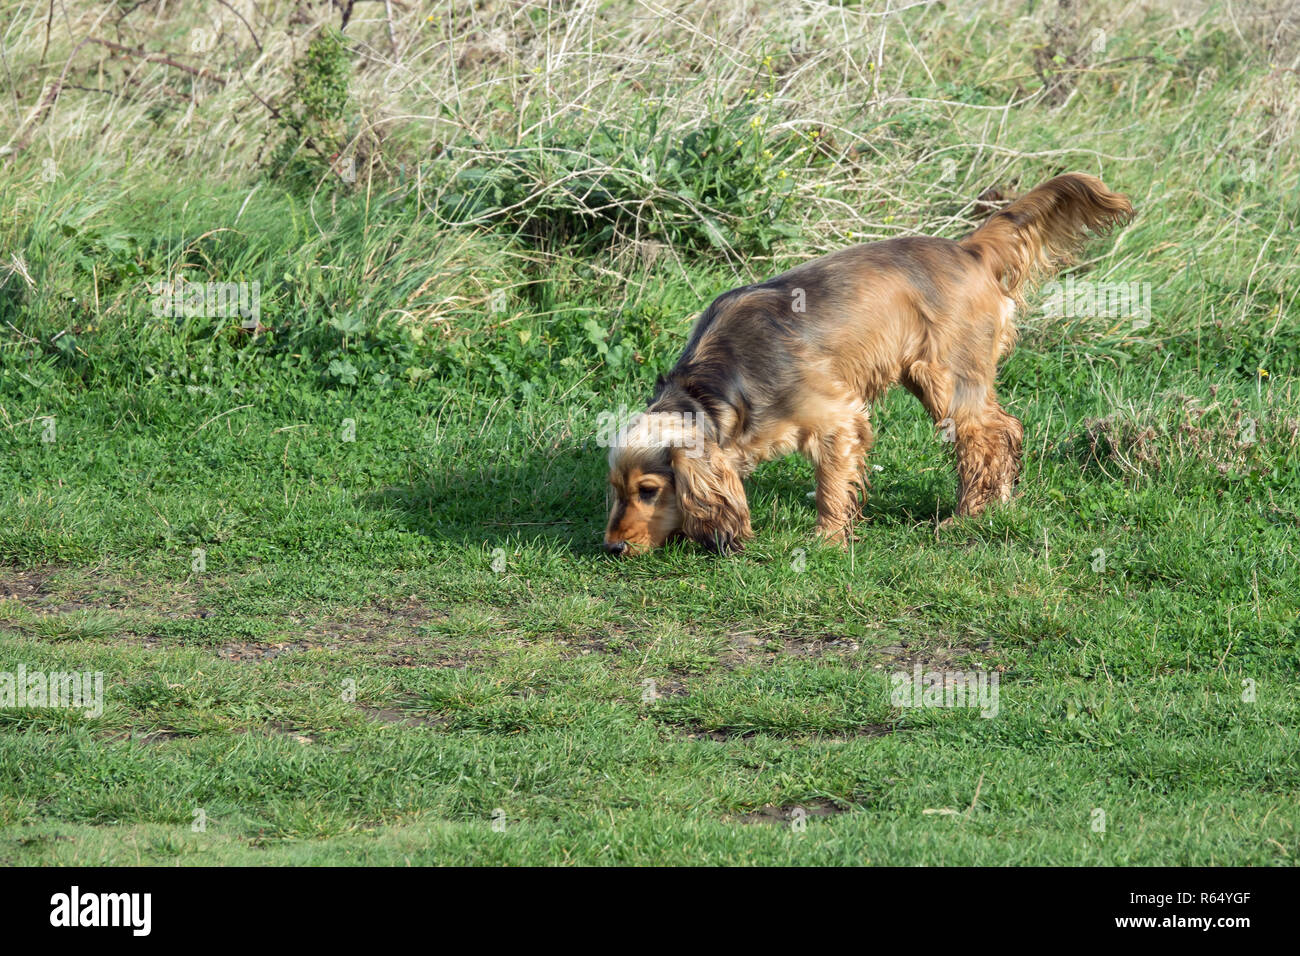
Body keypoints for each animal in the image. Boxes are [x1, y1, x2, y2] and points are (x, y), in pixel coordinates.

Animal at [603, 175, 1133, 556]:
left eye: (649, 490)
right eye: (616, 489)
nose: (611, 548)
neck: (715, 387)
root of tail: (967, 249)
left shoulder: (838, 418)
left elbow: (831, 488)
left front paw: (826, 540)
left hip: (944, 379)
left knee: (987, 435)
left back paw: (966, 515)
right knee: (1004, 426)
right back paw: (997, 503)